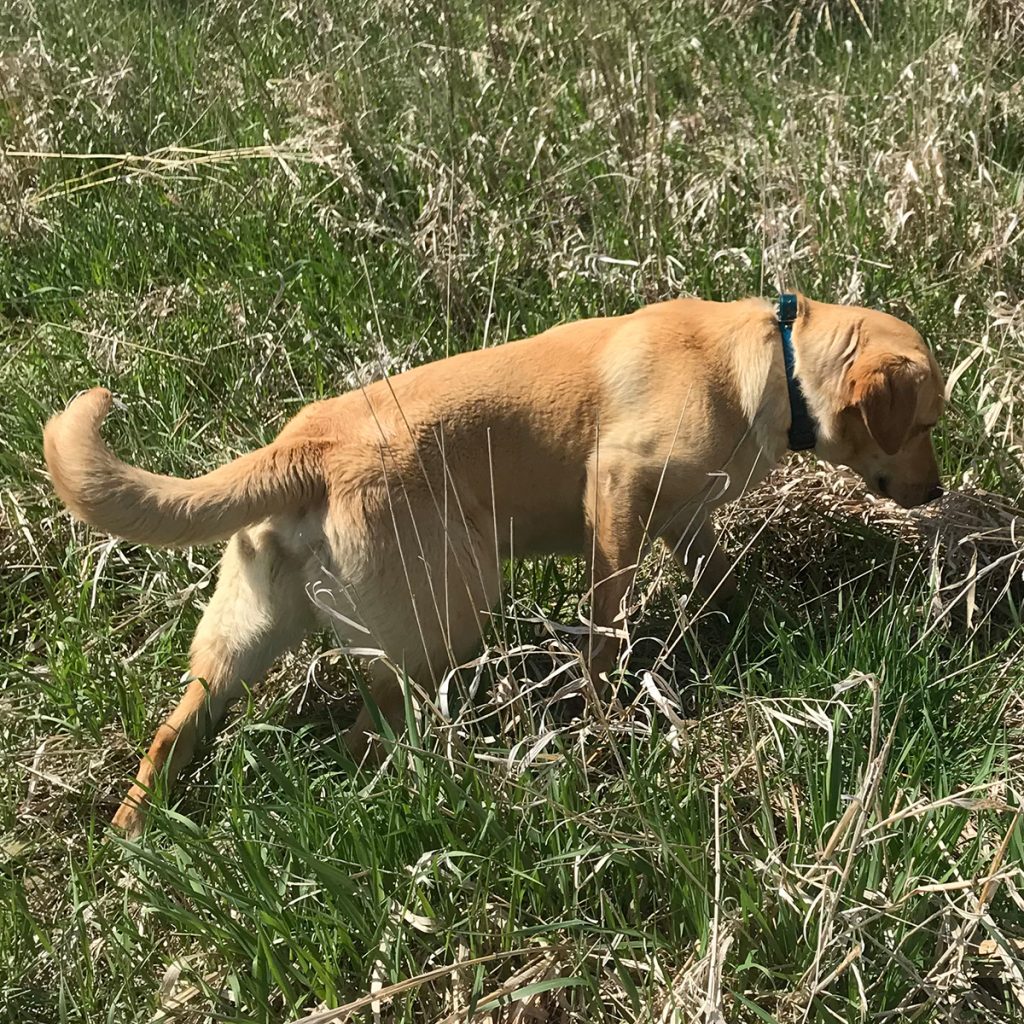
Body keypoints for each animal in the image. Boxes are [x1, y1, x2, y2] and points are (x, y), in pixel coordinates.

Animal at [44, 290, 946, 831]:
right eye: (927, 424)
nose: (936, 495)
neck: (772, 363)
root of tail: (303, 450)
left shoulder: (686, 521)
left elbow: (719, 575)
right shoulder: (615, 489)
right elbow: (606, 625)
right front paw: (602, 713)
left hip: (236, 641)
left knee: (176, 733)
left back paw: (135, 838)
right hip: (454, 607)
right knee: (367, 734)